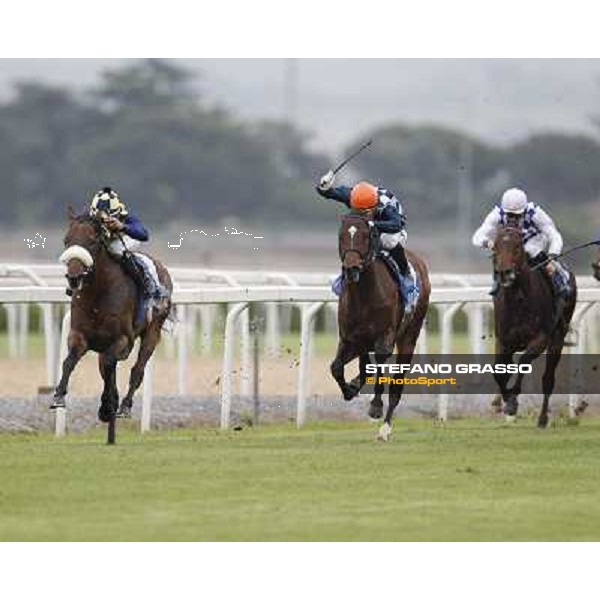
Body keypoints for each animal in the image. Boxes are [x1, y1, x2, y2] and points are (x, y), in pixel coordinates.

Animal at [54, 213, 172, 424]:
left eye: (92, 241)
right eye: (66, 241)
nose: (74, 278)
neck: (98, 293)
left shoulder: (123, 339)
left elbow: (111, 365)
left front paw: (109, 404)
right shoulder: (79, 335)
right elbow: (70, 361)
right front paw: (59, 395)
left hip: (153, 330)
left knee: (137, 369)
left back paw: (124, 406)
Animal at [330, 211, 428, 440]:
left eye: (367, 236)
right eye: (341, 236)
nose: (351, 268)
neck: (364, 295)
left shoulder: (384, 338)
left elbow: (380, 366)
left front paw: (375, 406)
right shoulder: (349, 338)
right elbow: (337, 367)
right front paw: (350, 388)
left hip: (409, 336)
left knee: (396, 386)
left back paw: (385, 429)